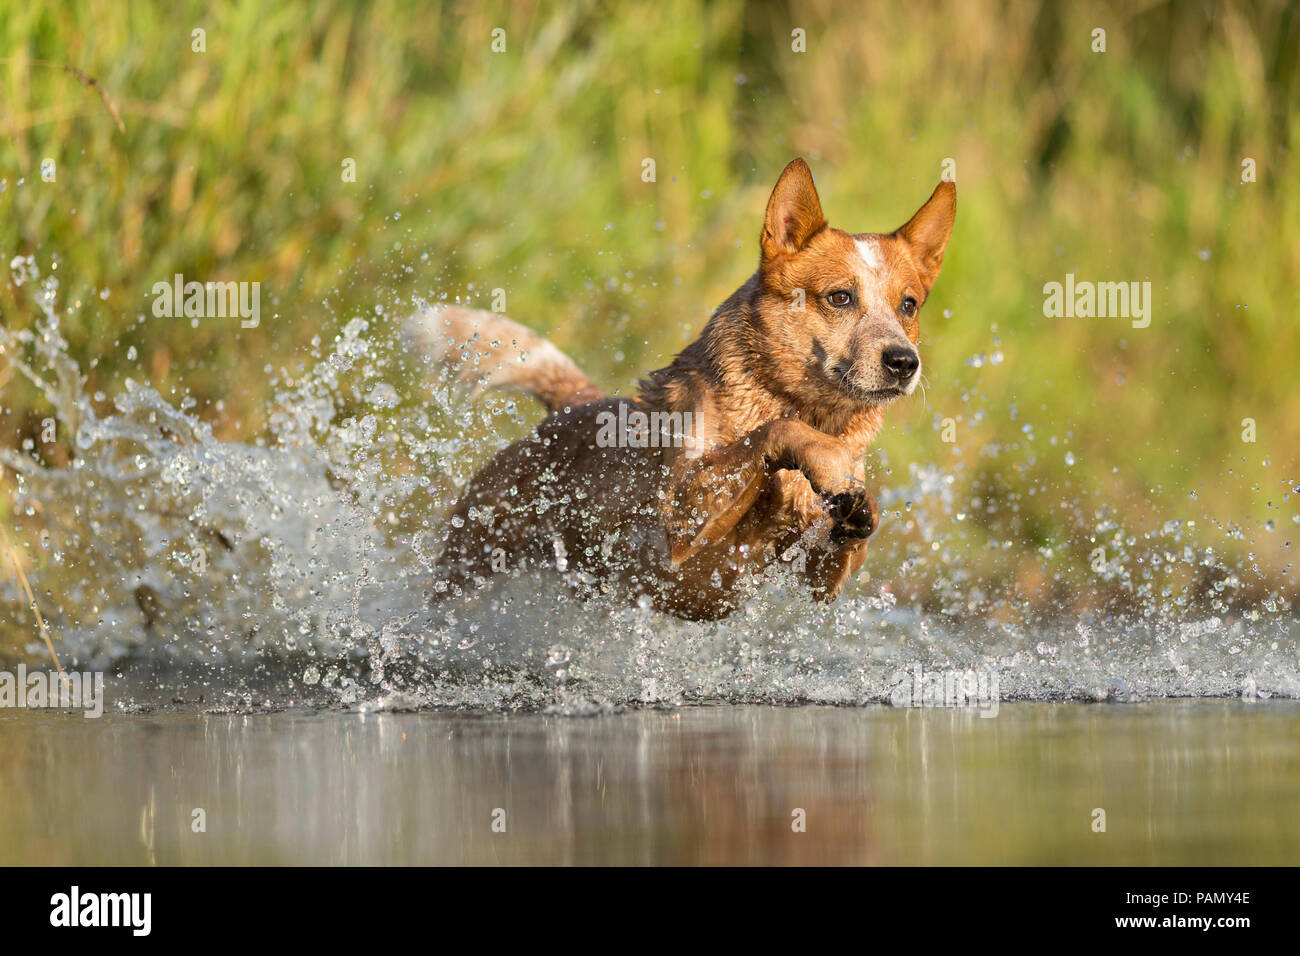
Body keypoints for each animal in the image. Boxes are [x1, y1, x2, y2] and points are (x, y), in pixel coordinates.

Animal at [405, 158, 956, 621]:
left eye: (908, 305)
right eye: (840, 298)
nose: (904, 361)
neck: (810, 409)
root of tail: (574, 409)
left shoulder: (815, 581)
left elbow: (843, 549)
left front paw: (859, 508)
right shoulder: (682, 524)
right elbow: (774, 433)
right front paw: (822, 456)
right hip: (470, 563)